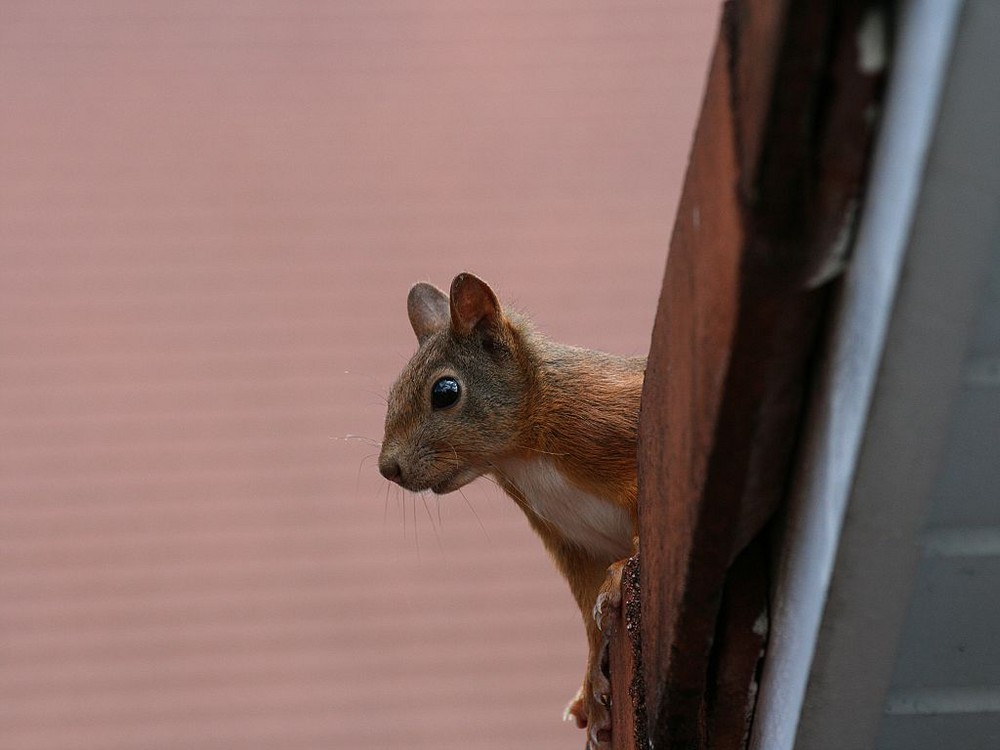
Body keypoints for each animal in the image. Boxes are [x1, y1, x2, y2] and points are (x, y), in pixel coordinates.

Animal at [378, 274, 644, 748]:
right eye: (392, 393)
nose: (387, 468)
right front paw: (591, 687)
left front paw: (620, 573)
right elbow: (589, 618)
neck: (521, 452)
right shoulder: (573, 542)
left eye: (445, 391)